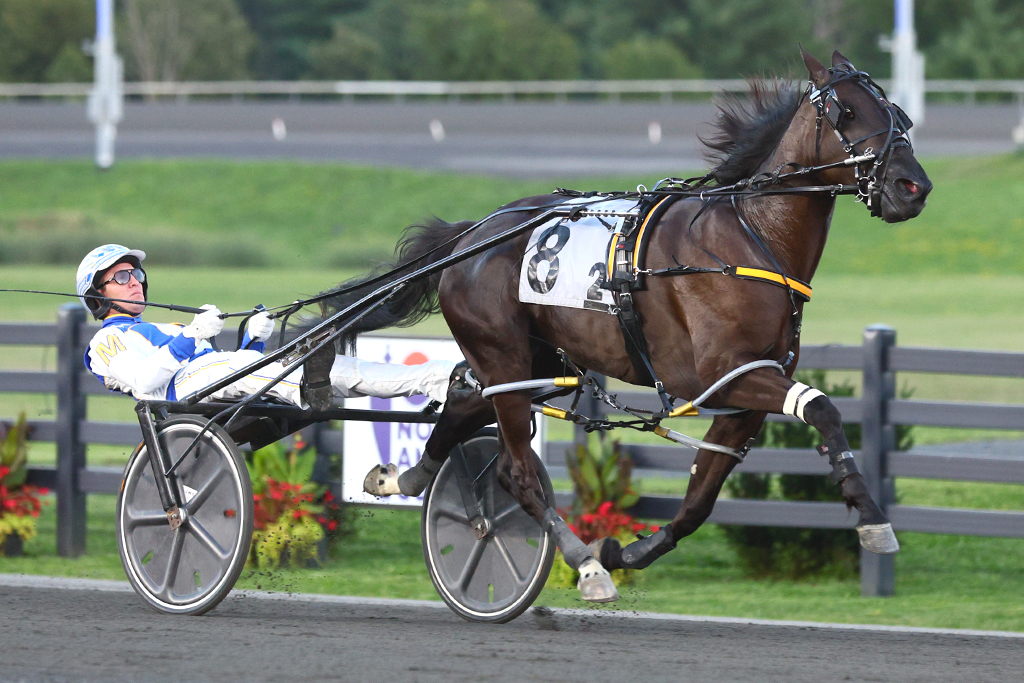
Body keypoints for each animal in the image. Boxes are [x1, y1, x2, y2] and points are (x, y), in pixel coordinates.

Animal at [339, 49, 933, 602]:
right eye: (847, 112)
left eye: (897, 113)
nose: (913, 187)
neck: (746, 237)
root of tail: (470, 237)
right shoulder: (728, 375)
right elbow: (823, 408)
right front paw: (872, 519)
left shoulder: (745, 392)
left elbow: (700, 498)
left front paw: (627, 550)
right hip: (503, 356)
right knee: (518, 473)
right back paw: (584, 566)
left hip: (534, 361)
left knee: (466, 402)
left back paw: (404, 477)